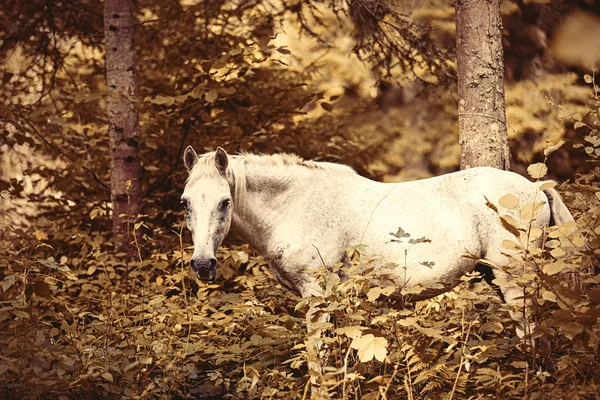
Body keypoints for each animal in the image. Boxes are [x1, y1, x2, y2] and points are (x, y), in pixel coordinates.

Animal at [180, 145, 576, 336]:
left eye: (224, 202)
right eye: (186, 202)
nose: (202, 264)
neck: (295, 204)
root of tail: (536, 188)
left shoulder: (316, 295)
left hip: (513, 280)